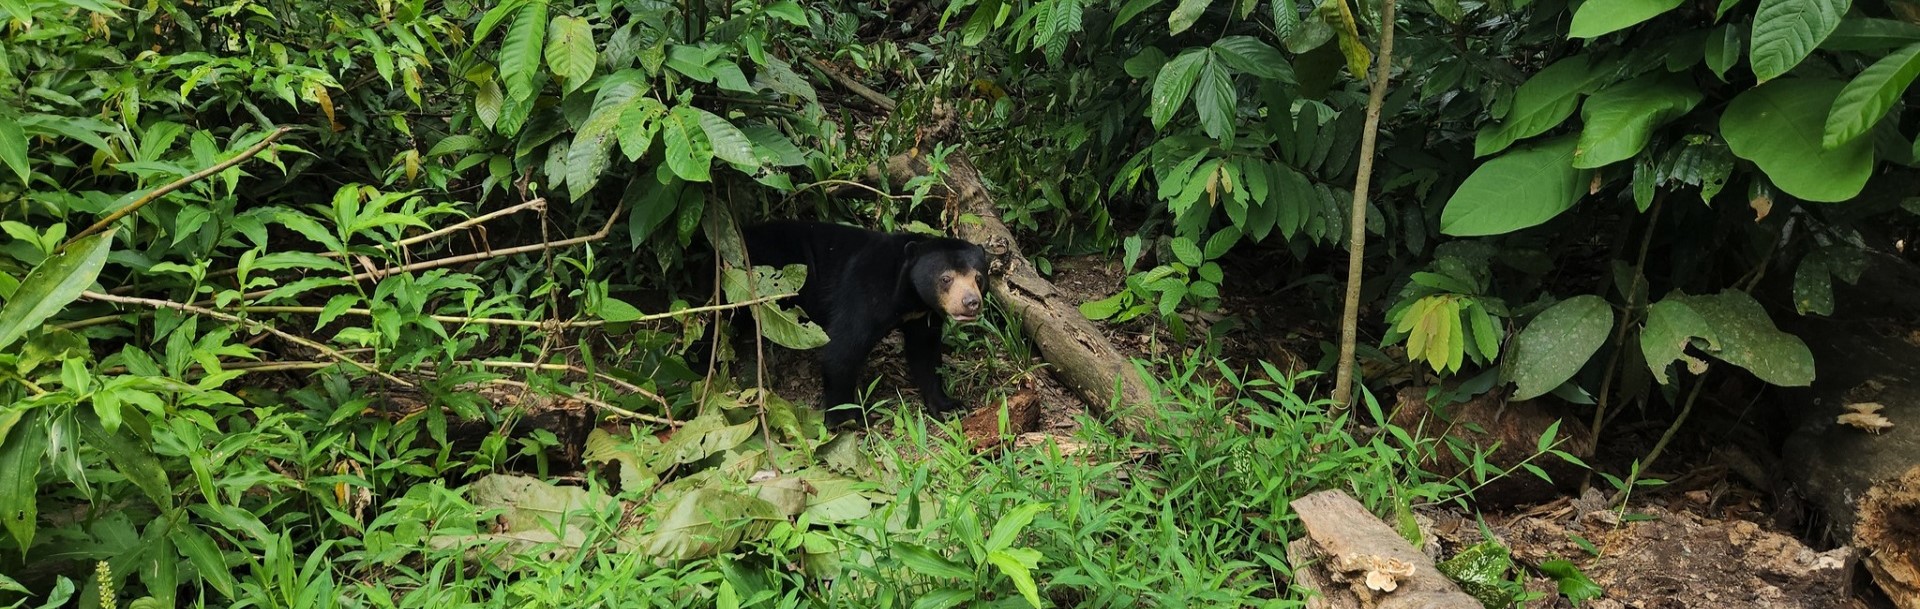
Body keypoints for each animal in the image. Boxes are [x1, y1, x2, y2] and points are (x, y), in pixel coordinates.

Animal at [741, 220, 990, 424]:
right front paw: (849, 417)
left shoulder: (922, 315)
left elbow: (925, 353)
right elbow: (843, 350)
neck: (910, 296)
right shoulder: (866, 290)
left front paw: (950, 407)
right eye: (946, 278)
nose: (971, 303)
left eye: (979, 278)